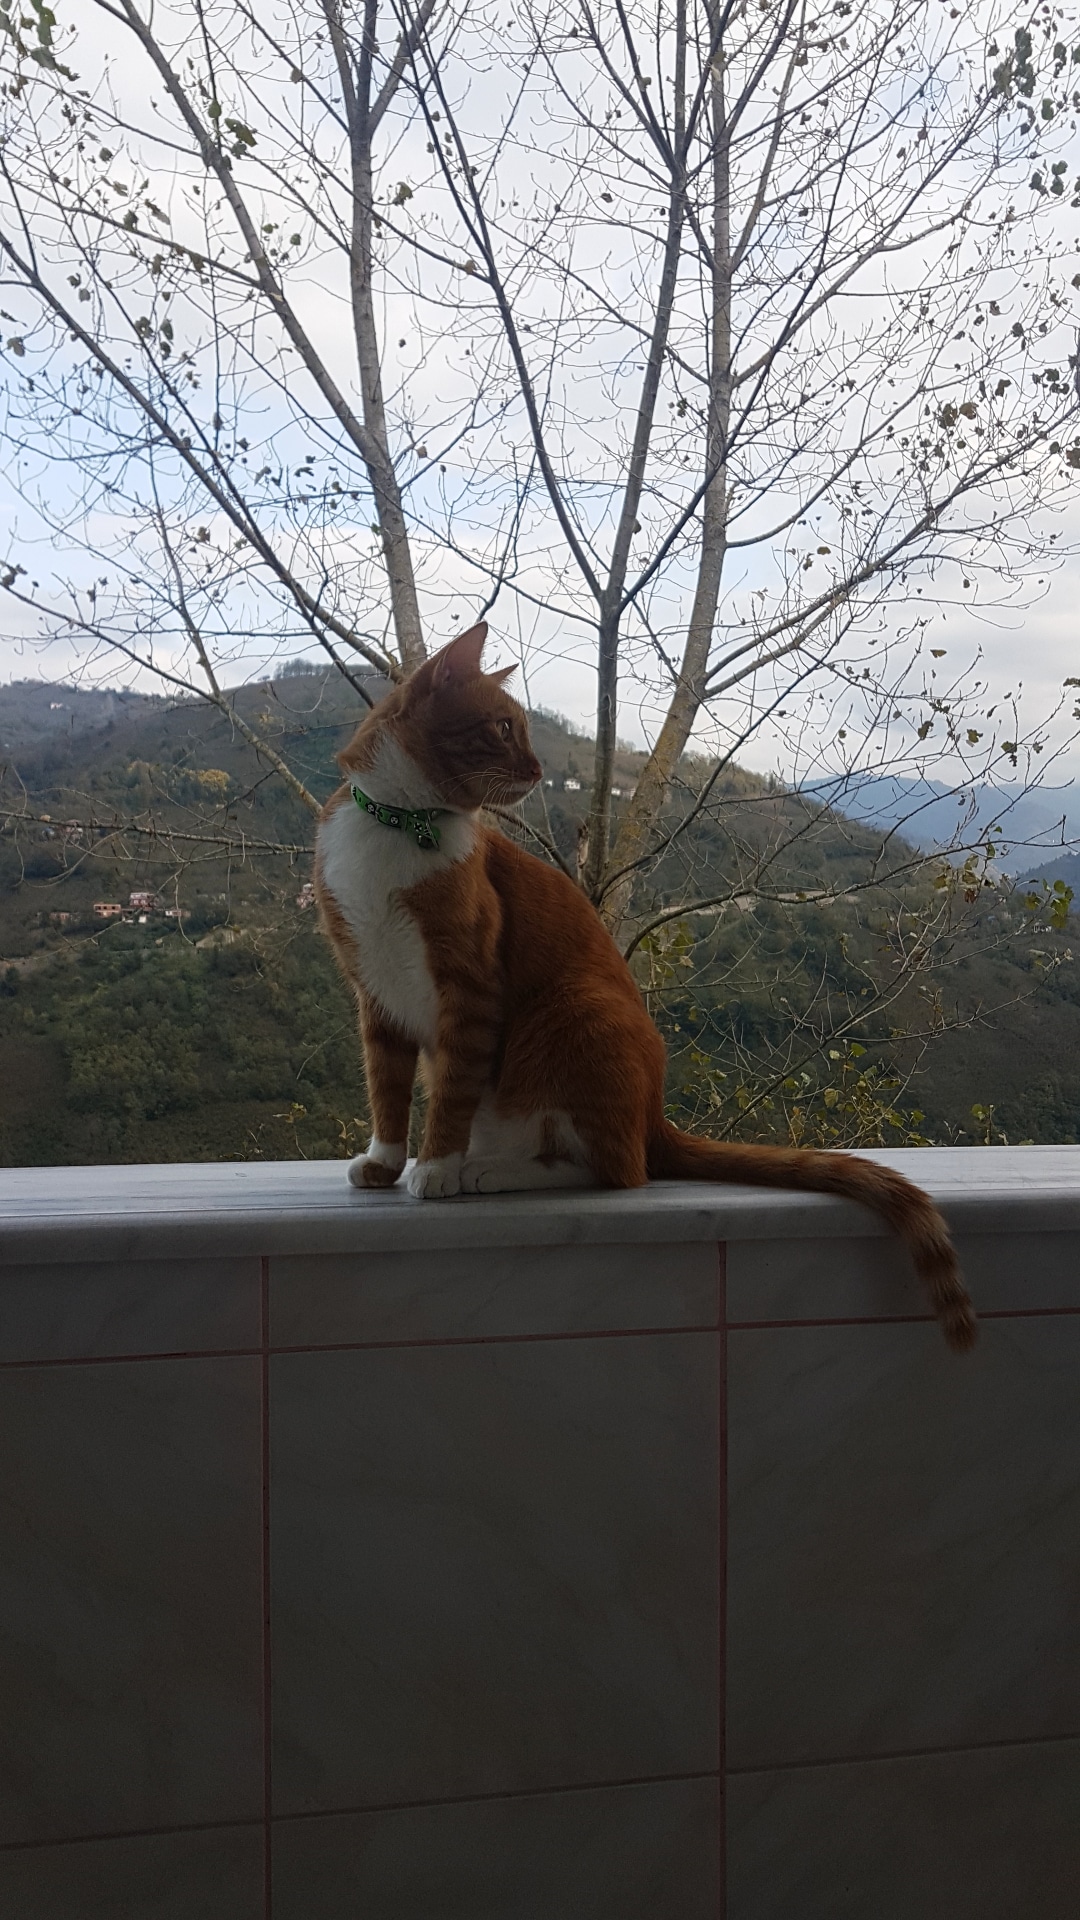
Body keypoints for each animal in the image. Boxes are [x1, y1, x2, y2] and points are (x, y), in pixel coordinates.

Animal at [315, 622, 977, 1352]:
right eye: (503, 727)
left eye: (522, 728)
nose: (538, 770)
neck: (397, 826)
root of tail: (655, 1116)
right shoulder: (372, 991)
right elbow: (386, 1087)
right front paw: (384, 1163)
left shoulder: (470, 987)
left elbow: (452, 1088)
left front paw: (435, 1166)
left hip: (576, 1011)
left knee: (617, 1167)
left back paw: (489, 1170)